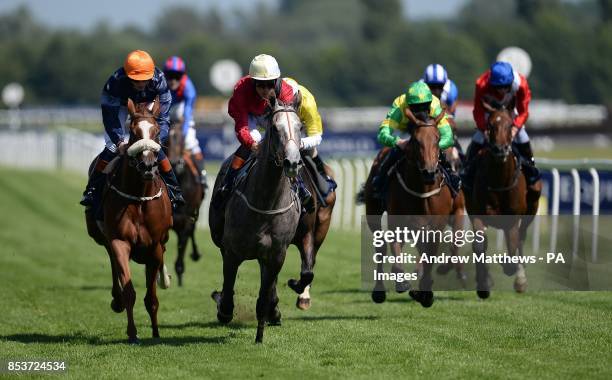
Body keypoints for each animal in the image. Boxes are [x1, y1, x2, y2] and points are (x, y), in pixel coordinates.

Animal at [83, 98, 172, 344]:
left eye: (157, 131)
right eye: (133, 133)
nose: (148, 166)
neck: (139, 196)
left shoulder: (155, 247)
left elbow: (151, 297)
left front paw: (156, 333)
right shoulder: (119, 241)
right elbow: (129, 290)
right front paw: (132, 333)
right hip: (103, 237)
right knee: (114, 266)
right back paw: (117, 300)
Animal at [210, 99, 304, 342]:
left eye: (300, 127)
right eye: (275, 128)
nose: (292, 162)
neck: (266, 203)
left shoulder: (277, 254)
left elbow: (264, 296)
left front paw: (260, 334)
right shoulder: (231, 252)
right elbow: (228, 287)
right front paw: (223, 308)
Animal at [364, 115, 464, 306]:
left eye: (438, 139)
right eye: (416, 141)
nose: (429, 172)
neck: (422, 190)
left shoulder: (442, 221)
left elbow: (435, 253)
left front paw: (425, 291)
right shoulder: (396, 222)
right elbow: (395, 253)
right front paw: (402, 282)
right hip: (372, 211)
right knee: (381, 247)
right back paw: (379, 291)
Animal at [466, 102, 544, 298]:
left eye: (510, 125)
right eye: (491, 125)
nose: (500, 149)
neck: (499, 181)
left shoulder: (512, 221)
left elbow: (512, 249)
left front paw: (511, 269)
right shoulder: (478, 214)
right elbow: (479, 246)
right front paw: (483, 283)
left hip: (531, 210)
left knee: (522, 238)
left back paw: (520, 279)